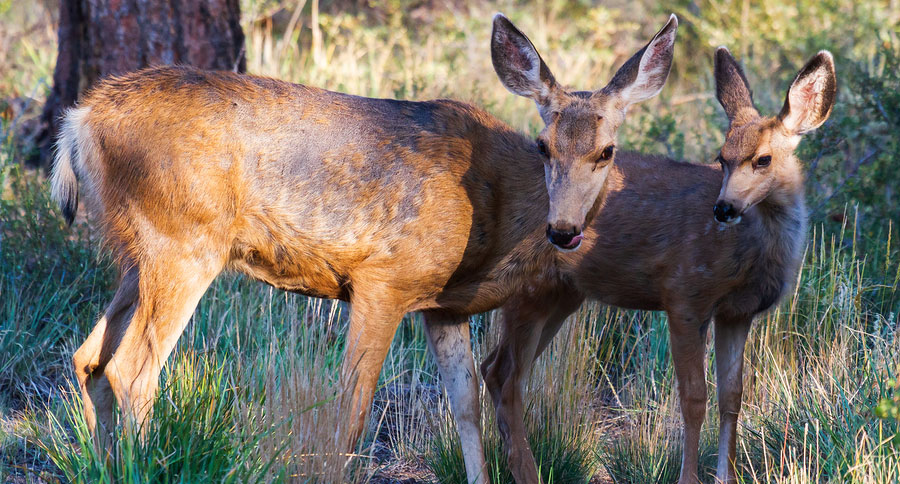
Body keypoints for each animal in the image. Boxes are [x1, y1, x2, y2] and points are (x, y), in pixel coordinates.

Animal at [49, 11, 680, 484]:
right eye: (544, 145)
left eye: (607, 151)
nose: (565, 230)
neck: (497, 215)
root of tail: (80, 121)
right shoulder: (385, 279)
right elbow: (352, 411)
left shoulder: (442, 305)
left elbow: (466, 407)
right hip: (184, 239)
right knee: (132, 371)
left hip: (140, 252)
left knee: (88, 358)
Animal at [482, 46, 840, 484]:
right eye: (721, 158)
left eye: (763, 159)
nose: (723, 208)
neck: (752, 253)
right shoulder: (686, 295)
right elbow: (693, 397)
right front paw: (688, 477)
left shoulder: (737, 313)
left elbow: (732, 396)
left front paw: (727, 476)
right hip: (527, 287)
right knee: (503, 373)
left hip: (561, 295)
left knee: (495, 369)